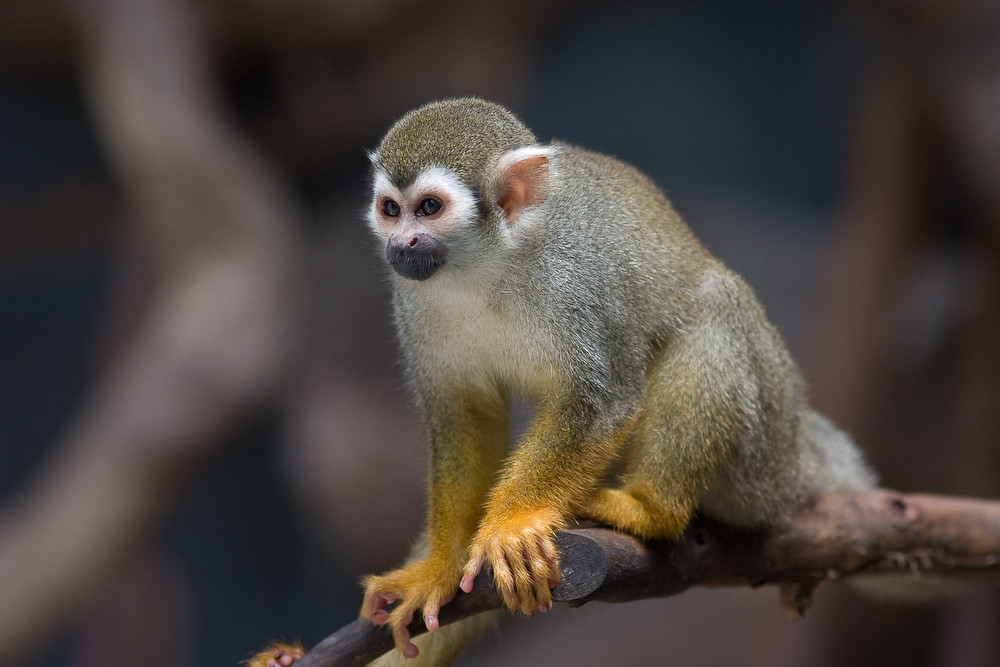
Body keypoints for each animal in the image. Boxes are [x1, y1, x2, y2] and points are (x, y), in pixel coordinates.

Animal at [248, 97, 876, 666]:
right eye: (389, 209)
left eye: (428, 208)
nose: (400, 243)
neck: (487, 267)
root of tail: (799, 450)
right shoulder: (412, 303)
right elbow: (465, 416)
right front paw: (439, 570)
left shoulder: (576, 282)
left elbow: (602, 399)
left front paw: (512, 525)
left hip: (763, 453)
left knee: (712, 313)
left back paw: (651, 511)